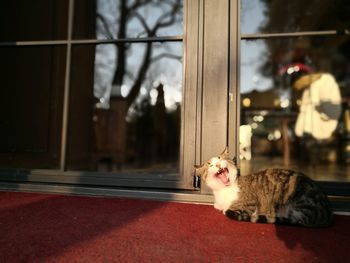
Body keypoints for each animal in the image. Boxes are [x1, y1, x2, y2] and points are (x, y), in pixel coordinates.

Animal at [194, 147, 334, 228]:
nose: (217, 164)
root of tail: (327, 213)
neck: (225, 190)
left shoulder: (248, 205)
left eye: (220, 158)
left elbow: (229, 210)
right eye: (210, 164)